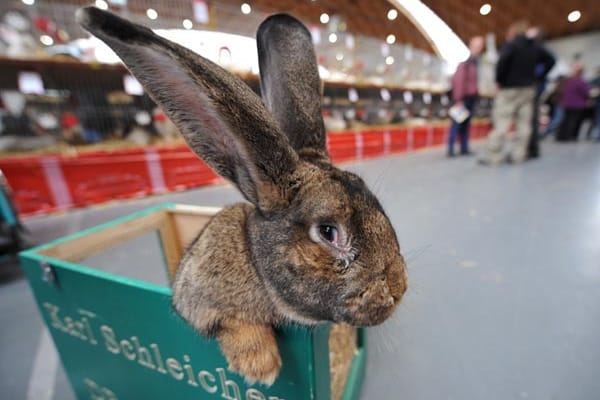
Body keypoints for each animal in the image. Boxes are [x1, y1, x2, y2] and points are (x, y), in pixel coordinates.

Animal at [77, 6, 408, 386]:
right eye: (327, 232)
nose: (398, 290)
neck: (255, 261)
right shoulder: (196, 300)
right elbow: (229, 321)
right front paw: (260, 366)